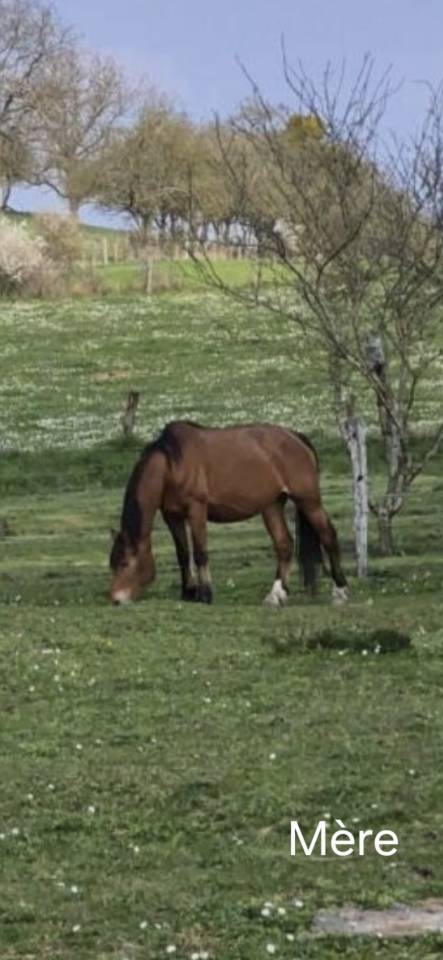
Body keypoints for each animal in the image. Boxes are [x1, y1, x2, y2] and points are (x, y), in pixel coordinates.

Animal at [109, 420, 348, 606]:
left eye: (124, 563)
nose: (115, 599)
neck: (171, 464)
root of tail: (295, 436)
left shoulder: (196, 509)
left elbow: (200, 552)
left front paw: (205, 594)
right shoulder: (172, 515)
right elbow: (183, 554)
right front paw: (188, 593)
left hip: (308, 501)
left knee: (328, 535)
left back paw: (340, 591)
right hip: (272, 506)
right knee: (284, 544)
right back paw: (276, 595)